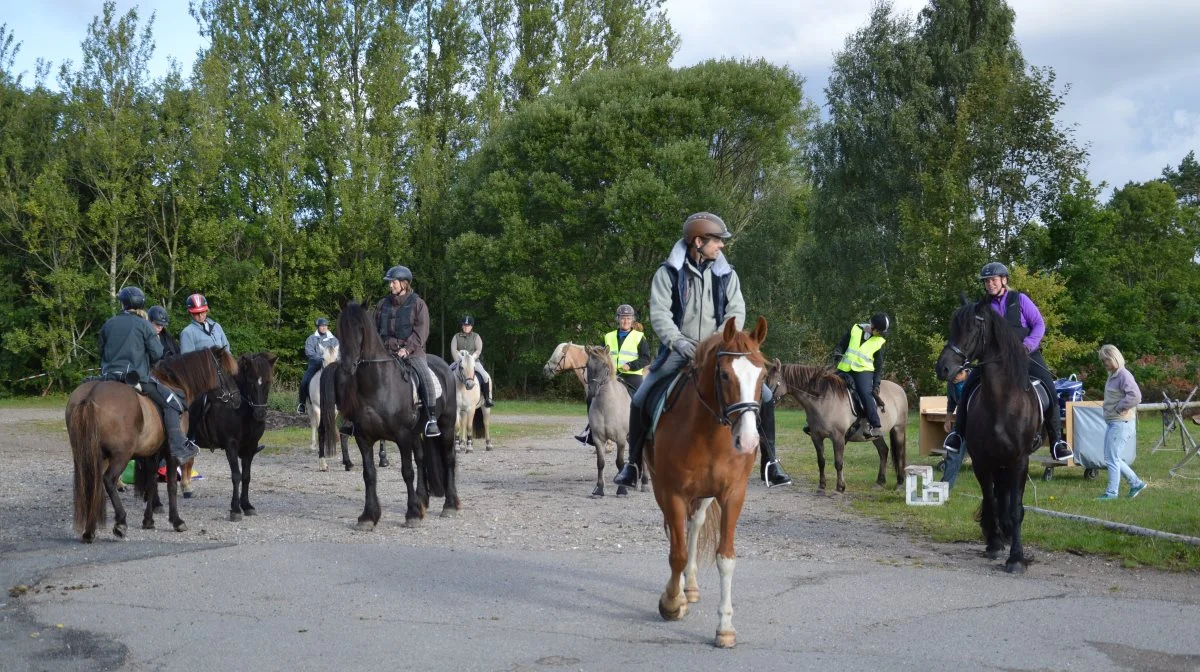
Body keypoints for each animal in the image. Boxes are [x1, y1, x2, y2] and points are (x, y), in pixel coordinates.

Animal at [66, 345, 240, 540]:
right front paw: (176, 521)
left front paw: (148, 520)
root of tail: (91, 395)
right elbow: (171, 485)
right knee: (108, 480)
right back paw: (120, 522)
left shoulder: (151, 453)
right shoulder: (170, 454)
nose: (238, 398)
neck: (175, 384)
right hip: (120, 455)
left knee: (90, 484)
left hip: (89, 455)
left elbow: (151, 483)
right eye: (227, 372)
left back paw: (89, 530)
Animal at [188, 348, 277, 523]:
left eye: (268, 382)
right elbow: (236, 475)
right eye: (251, 382)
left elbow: (246, 476)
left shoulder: (250, 448)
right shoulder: (231, 446)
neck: (239, 409)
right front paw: (235, 509)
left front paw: (247, 505)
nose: (260, 414)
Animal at [319, 302, 458, 528]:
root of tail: (445, 367)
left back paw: (450, 505)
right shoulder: (363, 437)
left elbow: (407, 472)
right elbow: (369, 474)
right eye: (340, 329)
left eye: (361, 329)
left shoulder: (402, 435)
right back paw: (422, 500)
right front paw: (368, 516)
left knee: (449, 458)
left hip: (446, 426)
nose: (347, 366)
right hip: (417, 433)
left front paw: (412, 514)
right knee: (421, 459)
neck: (377, 384)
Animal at [648, 316, 768, 648]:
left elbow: (725, 558)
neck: (708, 433)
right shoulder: (672, 493)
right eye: (725, 375)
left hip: (703, 496)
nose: (748, 441)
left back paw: (690, 587)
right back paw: (681, 592)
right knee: (679, 536)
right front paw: (671, 602)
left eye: (763, 374)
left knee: (695, 526)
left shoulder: (733, 495)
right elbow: (676, 554)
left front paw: (725, 627)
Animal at [936, 297, 1041, 571]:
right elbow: (991, 499)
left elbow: (1015, 507)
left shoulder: (1019, 460)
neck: (1001, 401)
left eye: (972, 329)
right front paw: (994, 543)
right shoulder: (982, 460)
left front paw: (1016, 558)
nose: (943, 368)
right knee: (999, 496)